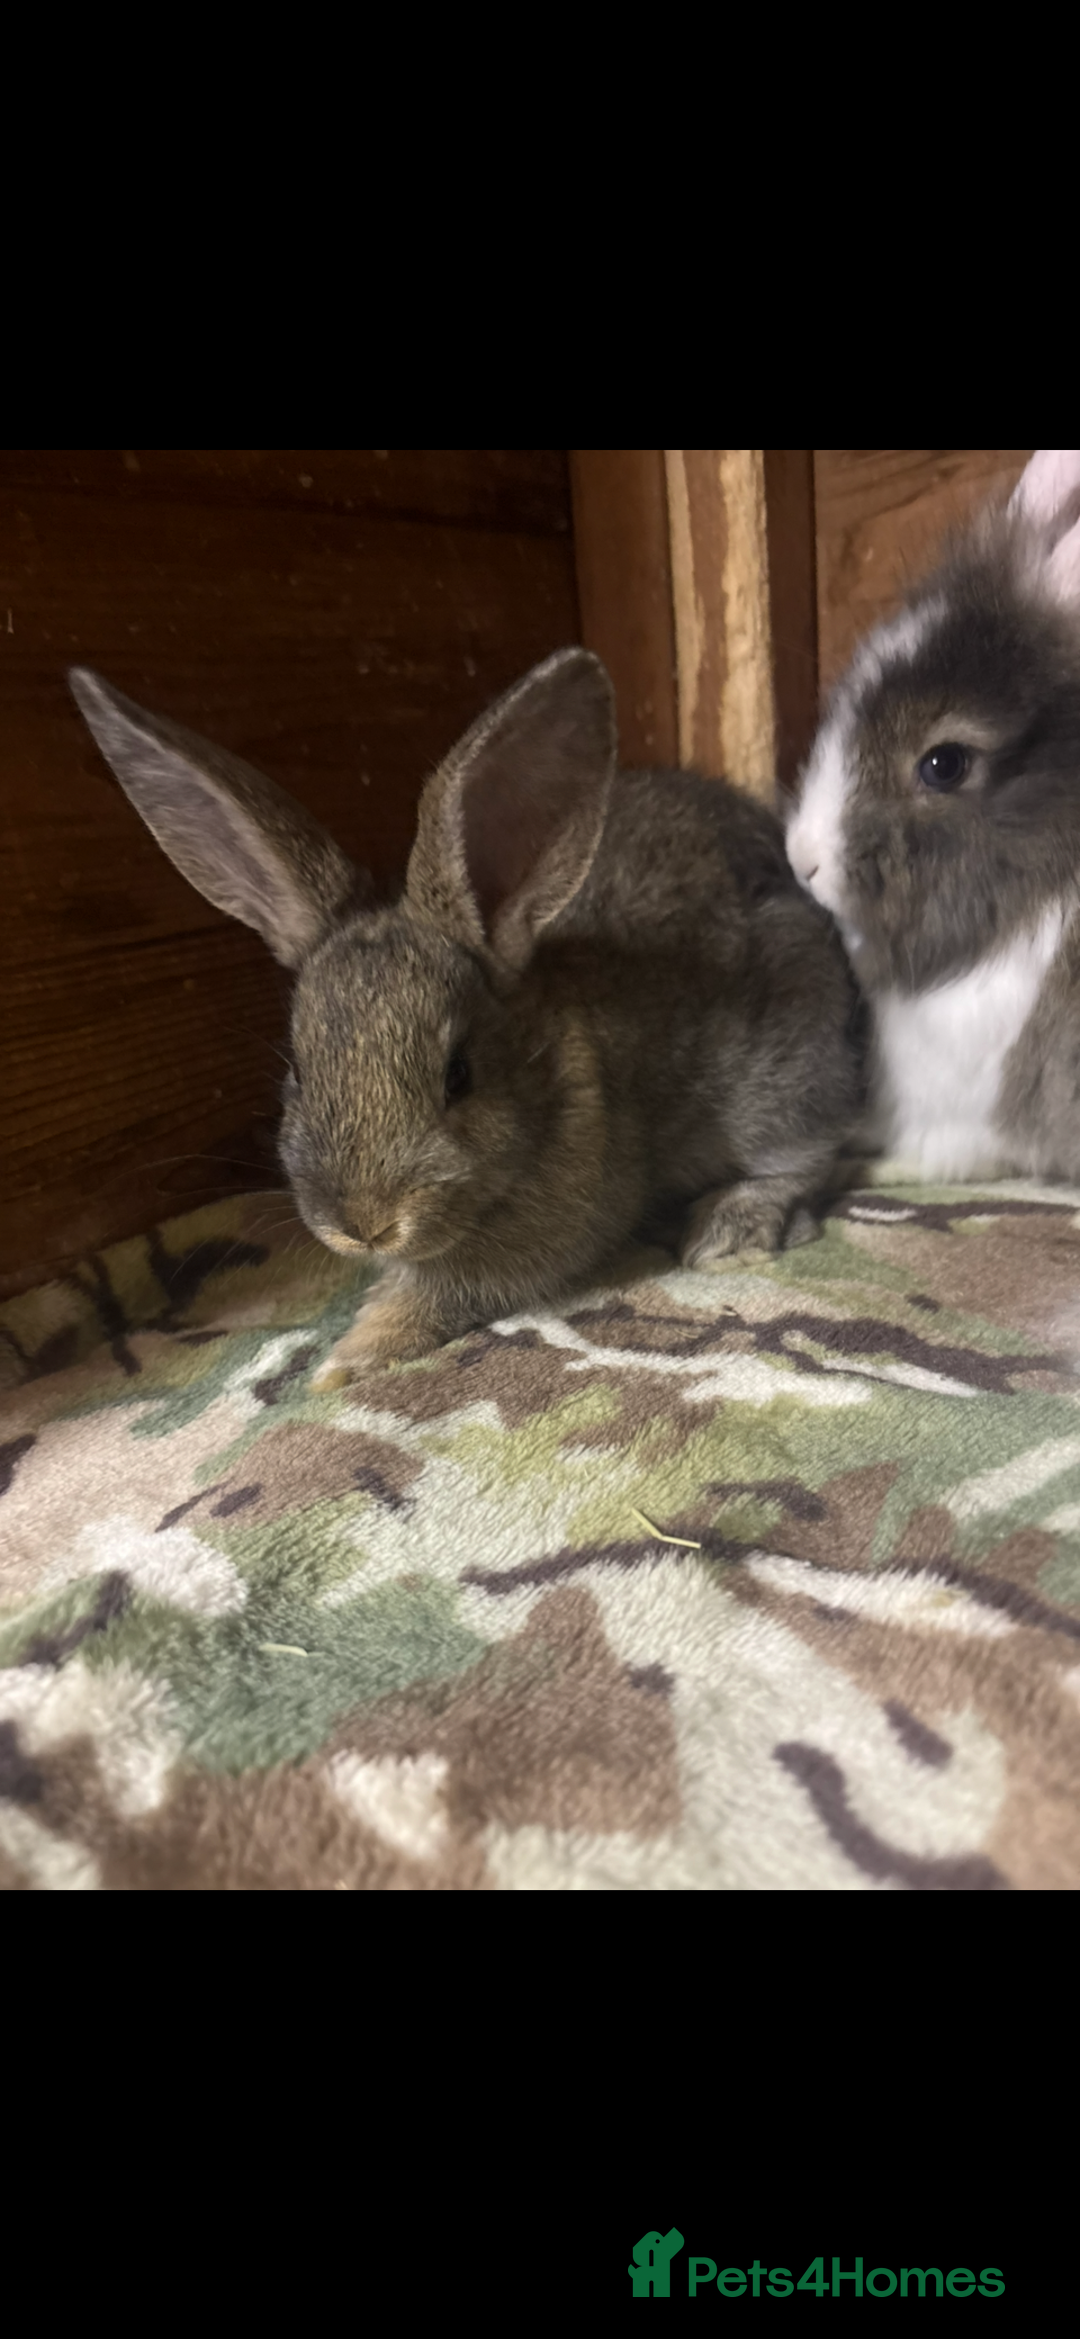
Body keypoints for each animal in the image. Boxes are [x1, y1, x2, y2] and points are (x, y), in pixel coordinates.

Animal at [70, 649, 861, 1382]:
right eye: (298, 1070)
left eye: (459, 1076)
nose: (365, 1226)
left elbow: (449, 1292)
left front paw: (351, 1356)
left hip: (785, 1079)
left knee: (808, 1159)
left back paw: (729, 1228)